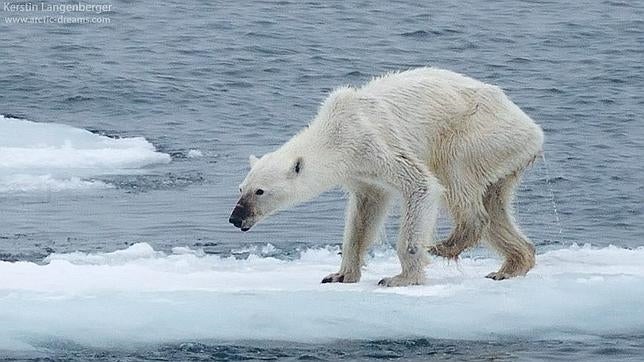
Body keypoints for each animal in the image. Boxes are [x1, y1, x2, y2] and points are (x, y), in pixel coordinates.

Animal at [230, 67, 544, 286]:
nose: (235, 217)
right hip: (504, 157)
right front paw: (339, 275)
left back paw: (447, 244)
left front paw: (401, 278)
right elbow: (364, 214)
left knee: (455, 175)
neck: (336, 133)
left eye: (260, 191)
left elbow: (421, 185)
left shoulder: (373, 143)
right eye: (241, 188)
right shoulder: (361, 173)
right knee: (495, 205)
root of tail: (533, 130)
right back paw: (510, 266)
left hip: (479, 134)